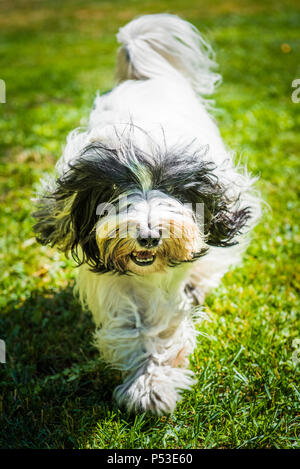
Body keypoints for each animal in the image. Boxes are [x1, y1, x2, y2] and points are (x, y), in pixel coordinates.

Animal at [33, 13, 260, 414]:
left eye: (172, 189)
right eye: (114, 190)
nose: (149, 236)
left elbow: (162, 320)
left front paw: (154, 381)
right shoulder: (111, 278)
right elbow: (131, 322)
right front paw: (146, 381)